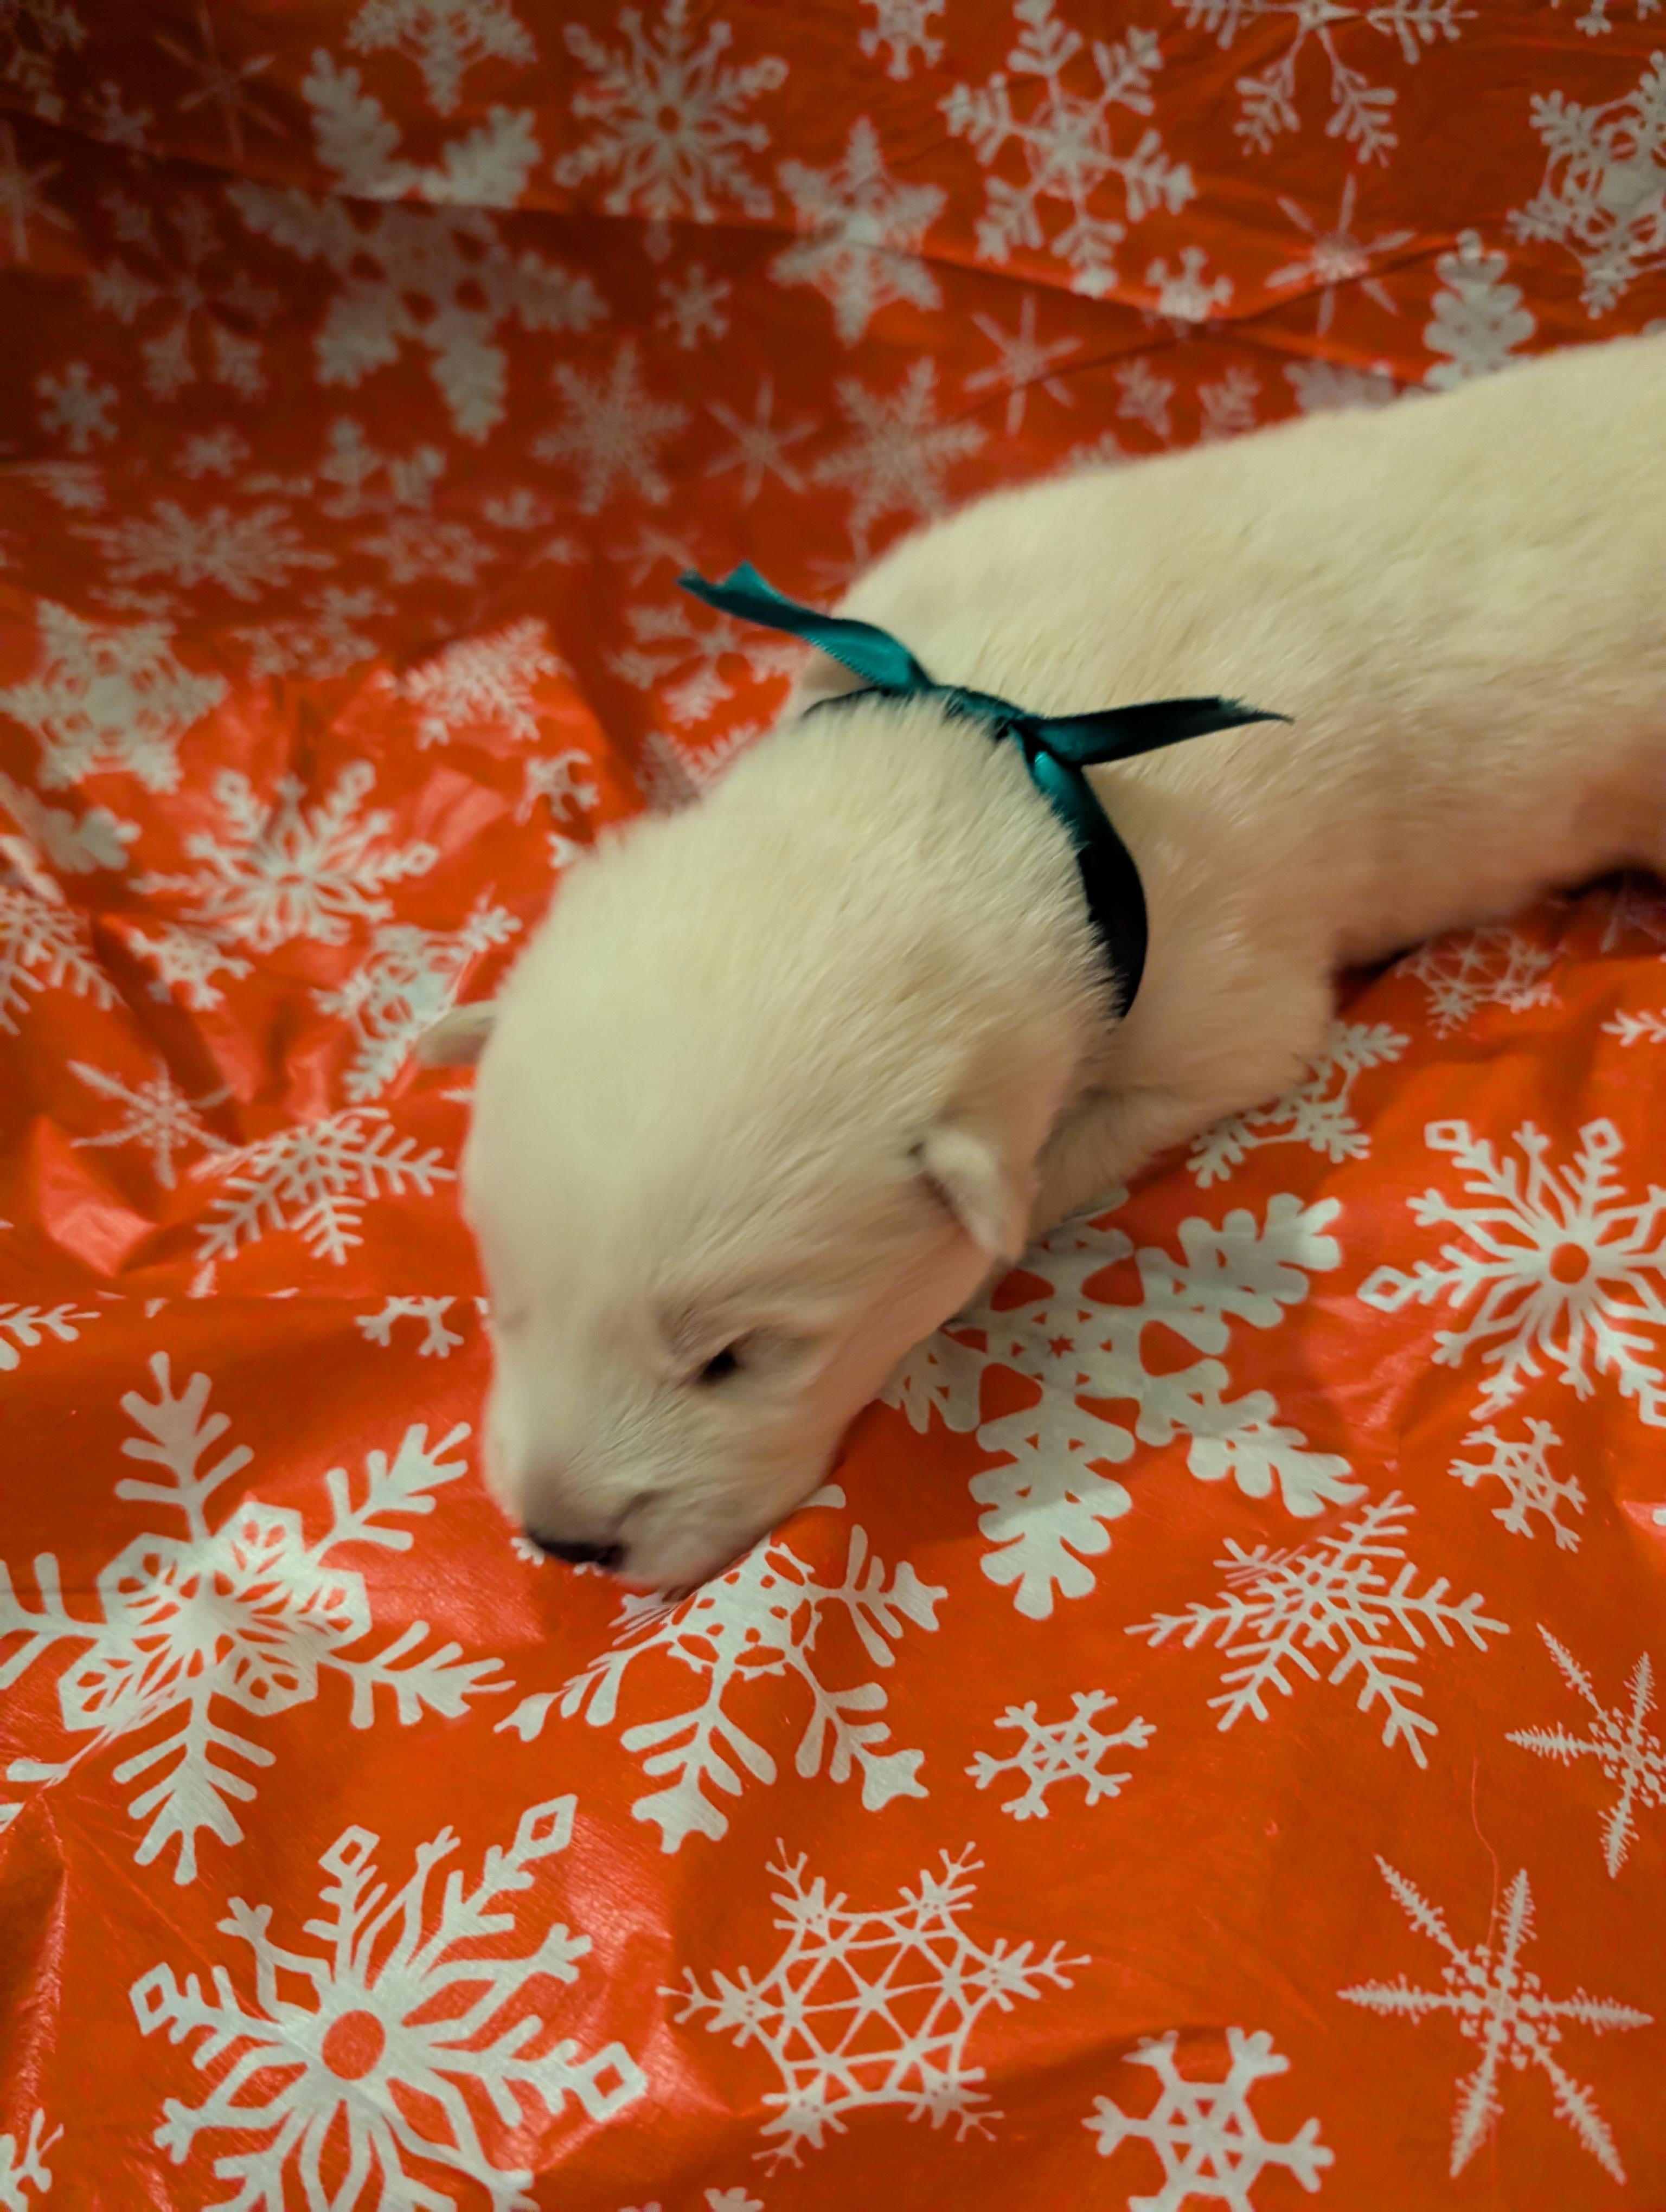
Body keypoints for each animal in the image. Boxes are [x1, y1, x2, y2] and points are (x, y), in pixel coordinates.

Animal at [426, 333, 1666, 1591]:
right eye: (507, 1295)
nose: (561, 1543)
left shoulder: (1220, 1012)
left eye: (735, 1357)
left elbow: (1061, 1164)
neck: (965, 768)